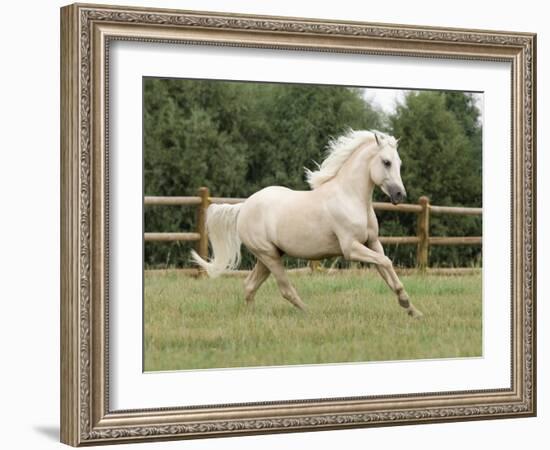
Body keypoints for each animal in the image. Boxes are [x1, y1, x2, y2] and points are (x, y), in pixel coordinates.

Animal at [192, 130, 424, 318]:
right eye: (386, 162)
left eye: (399, 163)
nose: (399, 195)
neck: (350, 197)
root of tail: (244, 207)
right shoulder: (351, 248)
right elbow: (386, 262)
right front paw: (405, 302)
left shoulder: (372, 243)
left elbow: (385, 267)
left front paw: (413, 310)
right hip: (269, 256)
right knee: (285, 289)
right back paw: (309, 313)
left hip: (267, 257)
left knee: (249, 285)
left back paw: (252, 317)